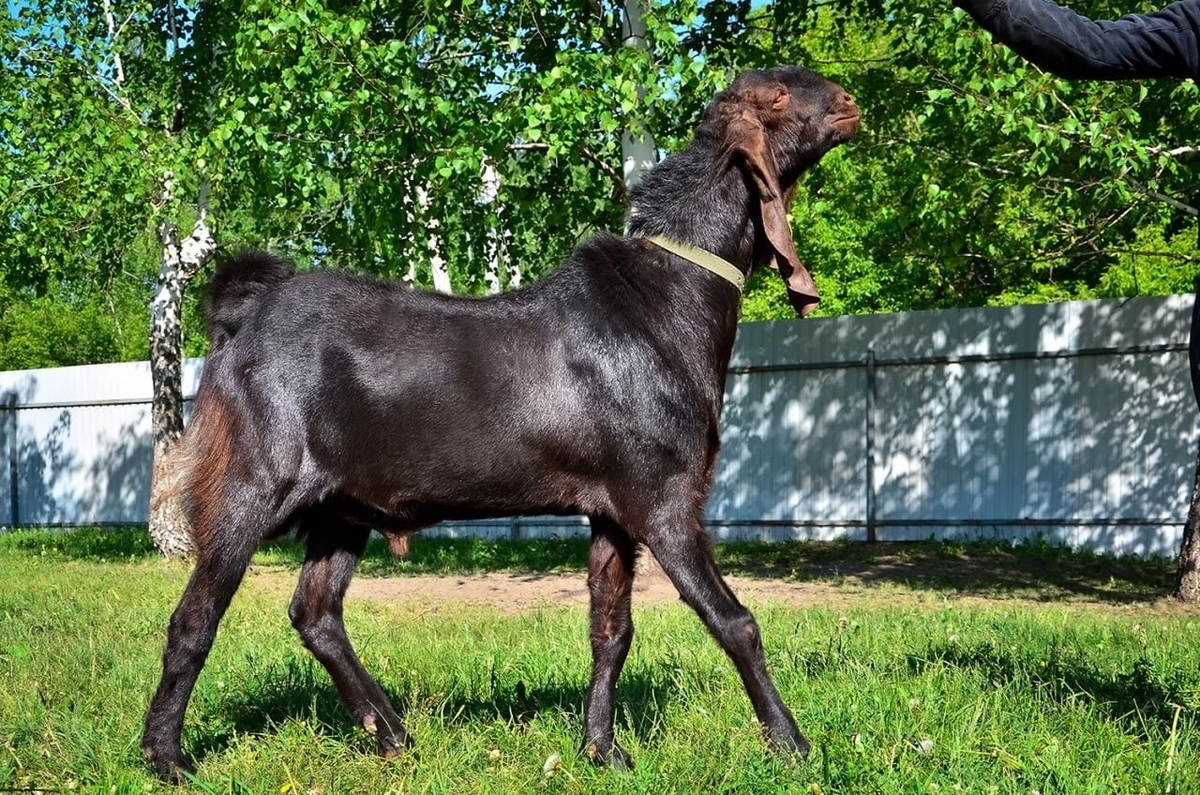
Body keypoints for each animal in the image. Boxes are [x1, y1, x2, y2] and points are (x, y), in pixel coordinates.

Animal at [142, 65, 864, 782]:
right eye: (776, 97)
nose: (849, 102)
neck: (667, 295)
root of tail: (242, 315)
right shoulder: (662, 499)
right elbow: (733, 619)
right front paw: (791, 744)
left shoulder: (610, 508)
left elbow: (610, 629)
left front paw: (602, 750)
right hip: (252, 478)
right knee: (194, 617)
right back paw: (166, 756)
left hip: (343, 505)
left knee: (315, 612)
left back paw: (392, 734)